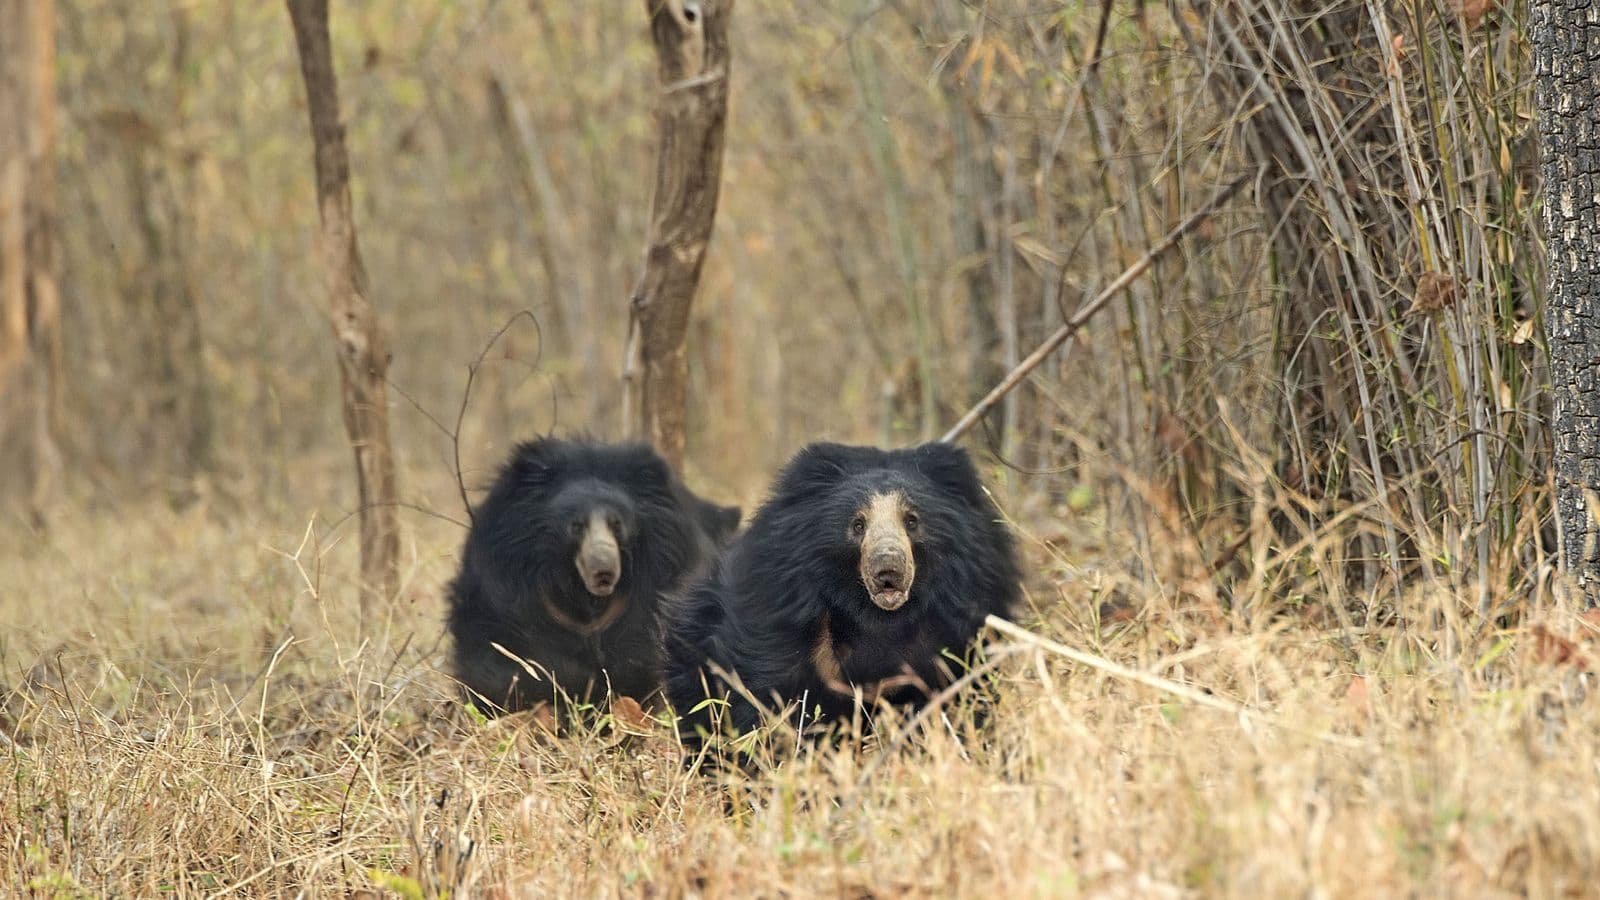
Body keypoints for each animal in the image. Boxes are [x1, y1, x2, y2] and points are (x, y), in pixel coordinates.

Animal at [447, 437, 740, 717]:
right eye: (576, 526)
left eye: (617, 524)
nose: (603, 571)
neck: (582, 595)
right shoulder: (505, 586)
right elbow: (504, 653)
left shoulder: (664, 573)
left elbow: (642, 654)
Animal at [664, 441, 1021, 761]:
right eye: (858, 524)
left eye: (912, 520)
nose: (888, 567)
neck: (877, 617)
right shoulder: (782, 608)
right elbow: (778, 697)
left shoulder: (963, 612)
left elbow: (958, 694)